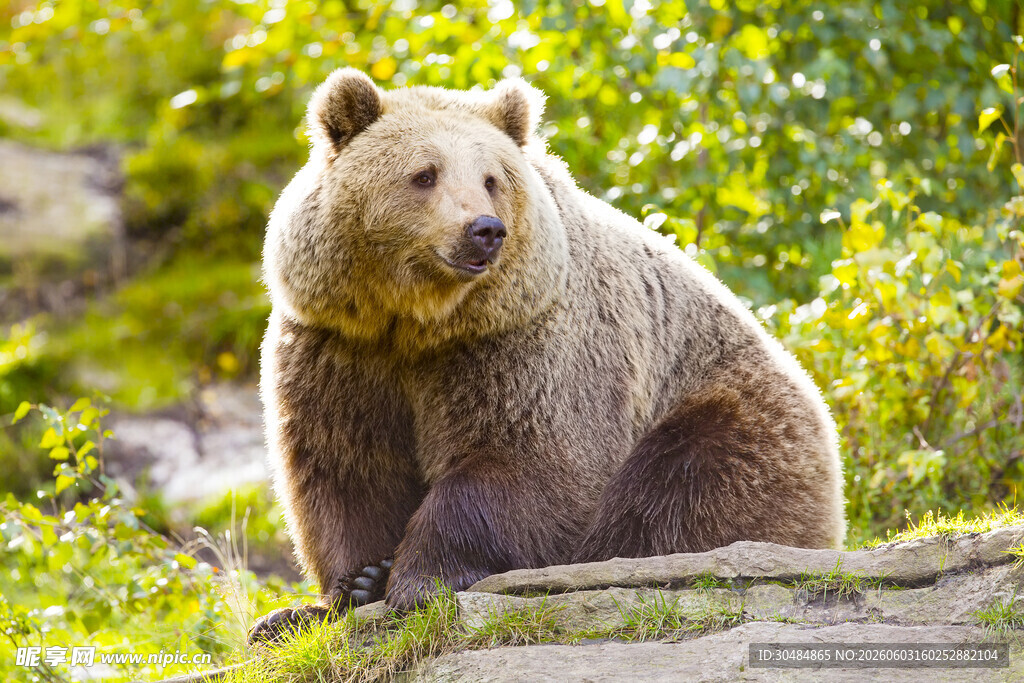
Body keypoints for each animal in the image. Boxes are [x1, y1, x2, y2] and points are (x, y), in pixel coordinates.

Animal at [248, 68, 845, 643]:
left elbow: (524, 458)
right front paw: (350, 585)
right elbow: (345, 466)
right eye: (424, 174)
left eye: (490, 178)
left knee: (682, 493)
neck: (419, 322)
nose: (484, 230)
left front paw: (419, 579)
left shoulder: (525, 340)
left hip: (728, 416)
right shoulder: (339, 346)